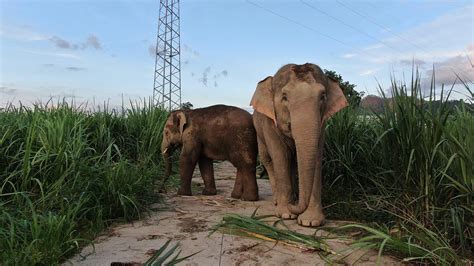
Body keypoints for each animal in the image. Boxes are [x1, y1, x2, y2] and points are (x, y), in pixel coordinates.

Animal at [252, 62, 348, 227]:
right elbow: (280, 156)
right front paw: (286, 214)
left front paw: (310, 222)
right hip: (258, 130)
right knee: (268, 159)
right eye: (284, 97)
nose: (293, 204)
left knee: (291, 161)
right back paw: (278, 200)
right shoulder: (269, 122)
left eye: (322, 96)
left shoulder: (321, 123)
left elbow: (316, 156)